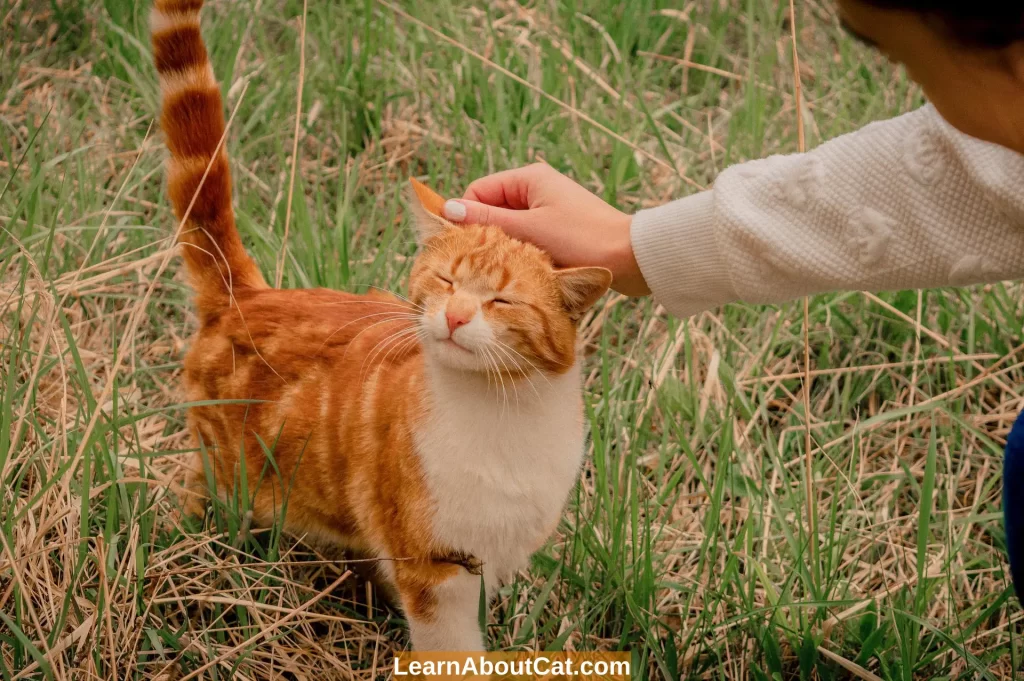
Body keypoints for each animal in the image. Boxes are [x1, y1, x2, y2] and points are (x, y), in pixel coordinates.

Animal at [153, 0, 606, 647]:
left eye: (502, 301)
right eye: (445, 281)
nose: (457, 315)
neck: (504, 415)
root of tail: (249, 295)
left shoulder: (493, 558)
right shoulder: (434, 568)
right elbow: (453, 651)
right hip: (227, 479)